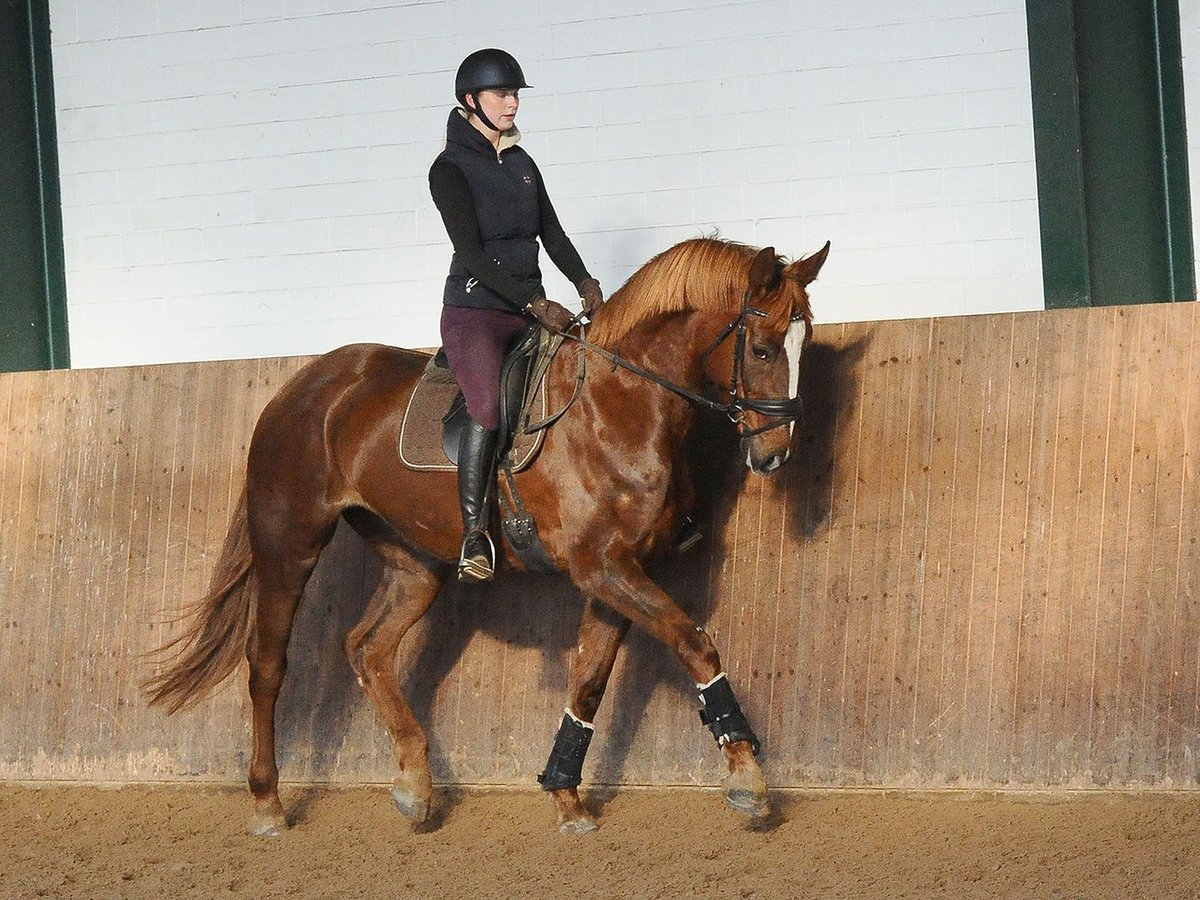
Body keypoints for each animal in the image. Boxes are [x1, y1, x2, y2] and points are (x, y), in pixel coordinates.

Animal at [145, 236, 830, 835]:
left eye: (806, 342)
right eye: (763, 348)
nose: (775, 453)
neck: (621, 402)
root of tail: (303, 386)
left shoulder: (621, 570)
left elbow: (590, 681)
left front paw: (565, 796)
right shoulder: (602, 566)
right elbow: (695, 643)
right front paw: (748, 781)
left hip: (413, 561)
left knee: (368, 647)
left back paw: (415, 786)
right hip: (289, 542)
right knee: (267, 663)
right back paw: (267, 803)